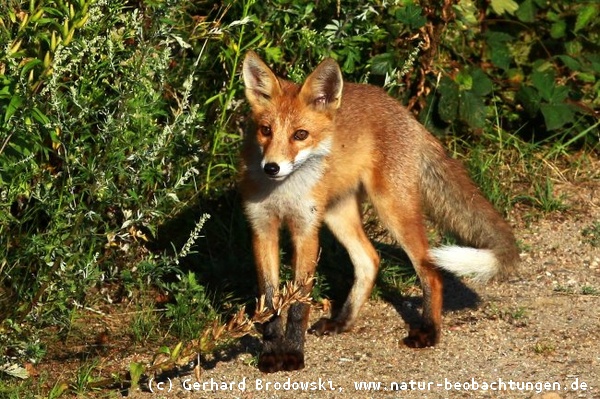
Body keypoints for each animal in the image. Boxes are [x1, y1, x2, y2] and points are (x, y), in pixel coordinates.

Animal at [239, 50, 520, 376]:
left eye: (300, 134)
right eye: (266, 131)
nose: (271, 167)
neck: (283, 193)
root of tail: (404, 112)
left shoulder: (306, 230)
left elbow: (299, 305)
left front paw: (294, 354)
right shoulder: (262, 229)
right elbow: (269, 304)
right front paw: (271, 354)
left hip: (393, 210)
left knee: (430, 271)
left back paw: (429, 331)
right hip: (338, 214)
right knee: (370, 260)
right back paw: (342, 321)